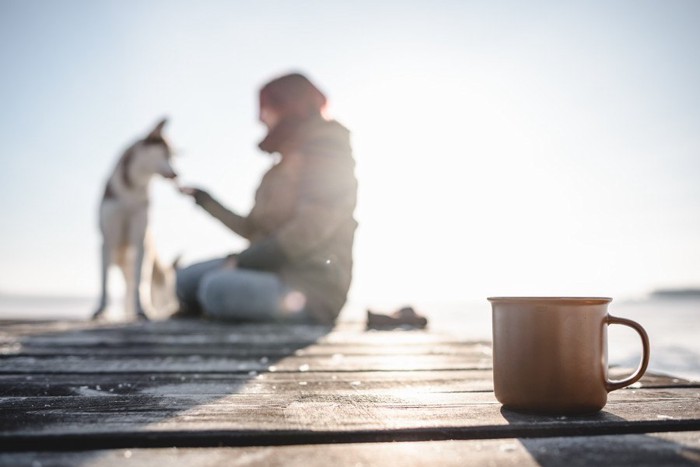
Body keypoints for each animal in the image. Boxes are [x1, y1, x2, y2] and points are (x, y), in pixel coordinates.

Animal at [93, 118, 179, 322]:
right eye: (165, 153)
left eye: (173, 155)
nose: (176, 174)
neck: (131, 191)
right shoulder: (107, 240)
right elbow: (104, 281)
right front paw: (101, 310)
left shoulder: (140, 239)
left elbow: (142, 282)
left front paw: (143, 310)